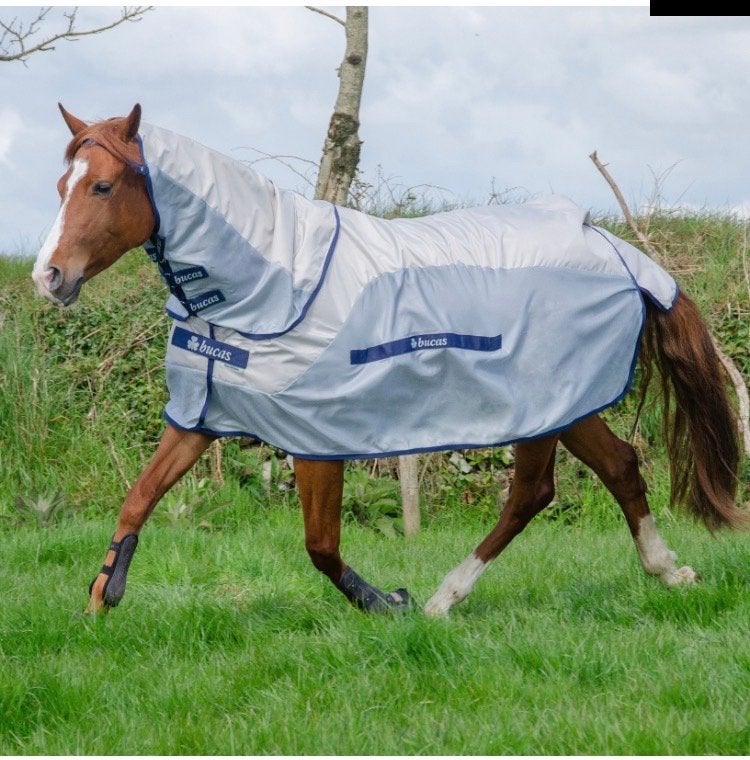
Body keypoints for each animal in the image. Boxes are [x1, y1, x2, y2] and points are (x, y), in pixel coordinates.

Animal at [32, 103, 746, 617]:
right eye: (61, 184)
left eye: (102, 186)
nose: (48, 276)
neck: (271, 284)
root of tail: (614, 249)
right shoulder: (198, 417)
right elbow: (138, 499)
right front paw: (101, 600)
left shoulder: (315, 437)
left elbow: (320, 546)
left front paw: (387, 601)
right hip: (567, 405)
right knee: (618, 466)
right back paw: (668, 571)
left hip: (541, 406)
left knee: (531, 493)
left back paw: (441, 599)